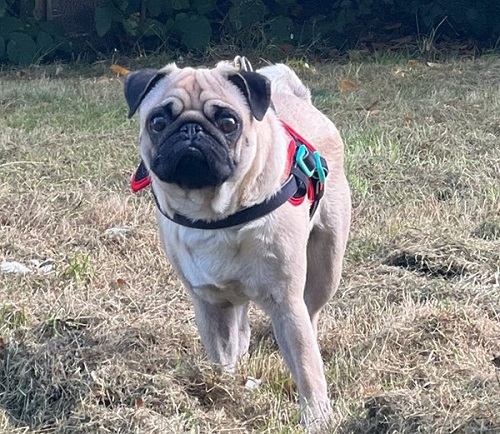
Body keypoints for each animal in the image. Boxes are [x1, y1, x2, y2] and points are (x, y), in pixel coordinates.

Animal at [125, 58, 352, 430]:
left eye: (228, 122)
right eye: (157, 122)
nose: (191, 130)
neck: (215, 216)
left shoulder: (286, 302)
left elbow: (307, 366)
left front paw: (316, 417)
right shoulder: (209, 303)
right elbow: (221, 354)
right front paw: (222, 389)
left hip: (326, 266)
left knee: (312, 311)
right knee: (241, 324)